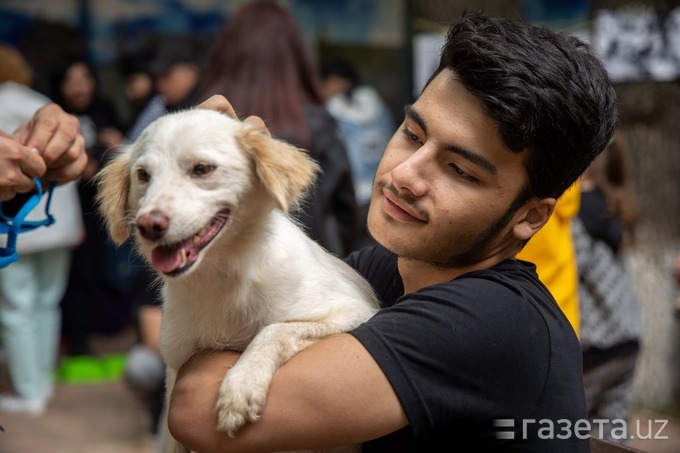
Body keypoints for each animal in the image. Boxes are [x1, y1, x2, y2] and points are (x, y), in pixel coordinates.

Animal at [97, 107, 378, 450]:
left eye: (202, 169)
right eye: (143, 175)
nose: (148, 225)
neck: (221, 276)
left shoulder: (353, 312)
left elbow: (275, 330)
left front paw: (242, 385)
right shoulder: (177, 366)